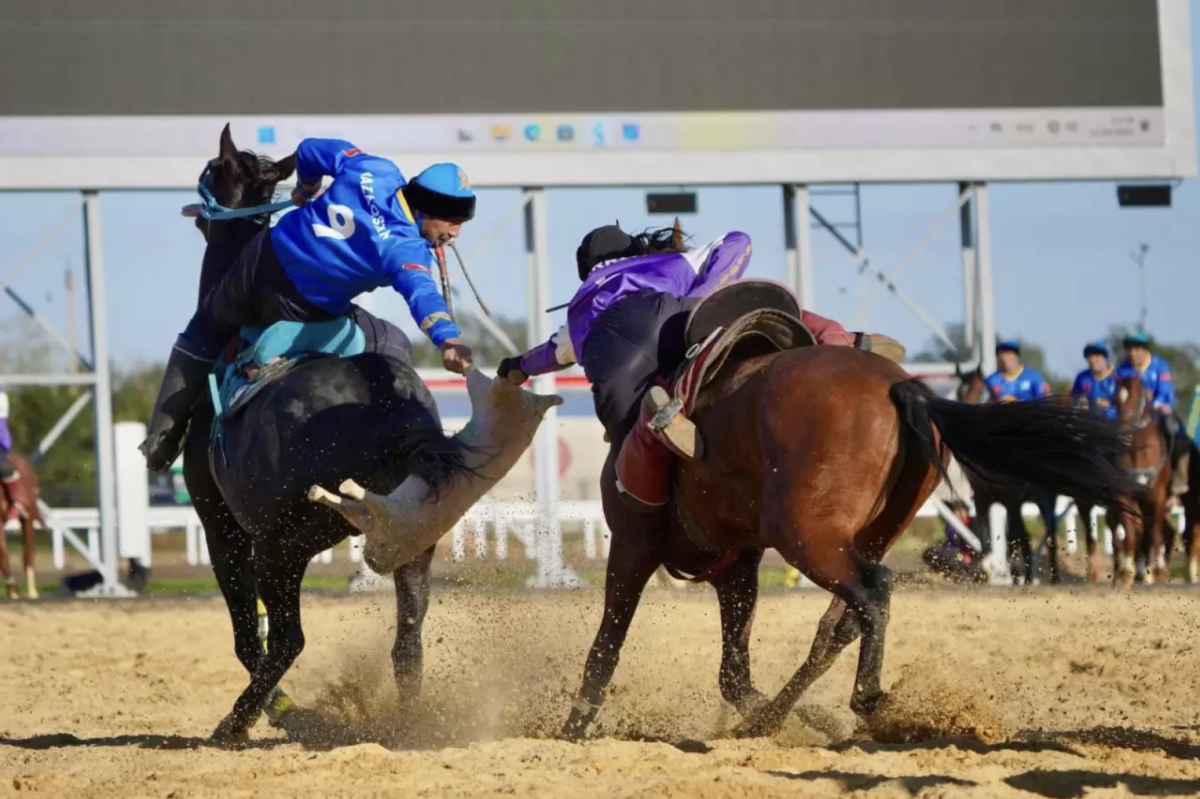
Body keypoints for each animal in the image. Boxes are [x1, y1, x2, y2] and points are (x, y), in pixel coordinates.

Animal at [556, 303, 1137, 734]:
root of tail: (901, 388)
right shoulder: (737, 569)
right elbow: (733, 675)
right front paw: (790, 717)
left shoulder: (633, 547)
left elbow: (606, 647)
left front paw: (574, 726)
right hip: (864, 535)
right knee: (840, 624)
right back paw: (782, 717)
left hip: (807, 536)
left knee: (873, 592)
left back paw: (865, 699)